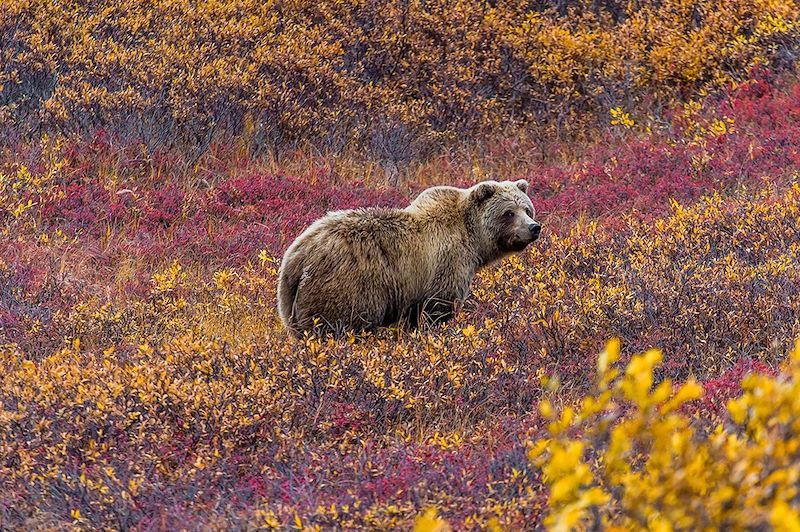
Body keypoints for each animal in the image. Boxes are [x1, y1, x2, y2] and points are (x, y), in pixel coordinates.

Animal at [276, 181, 544, 334]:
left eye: (527, 209)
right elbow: (438, 308)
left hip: (290, 303)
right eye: (509, 212)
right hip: (345, 288)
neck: (472, 238)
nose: (534, 227)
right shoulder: (446, 264)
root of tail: (296, 257)